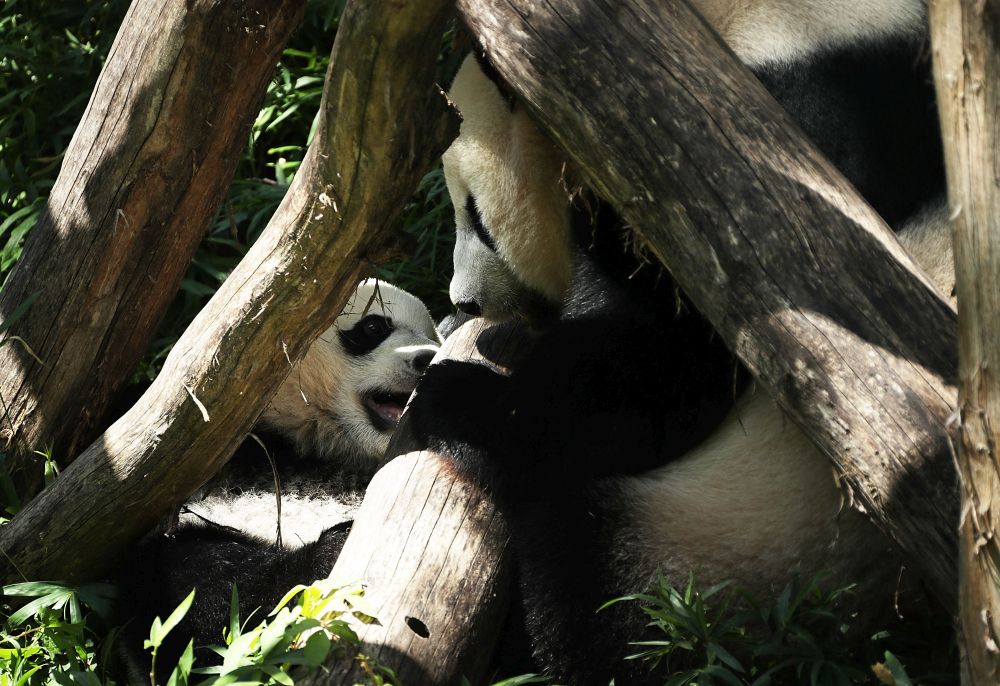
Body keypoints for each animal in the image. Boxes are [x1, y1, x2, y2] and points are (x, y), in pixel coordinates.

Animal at [406, 2, 952, 684]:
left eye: (476, 215)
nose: (465, 302)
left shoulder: (757, 170)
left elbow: (668, 367)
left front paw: (453, 397)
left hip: (721, 539)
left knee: (585, 589)